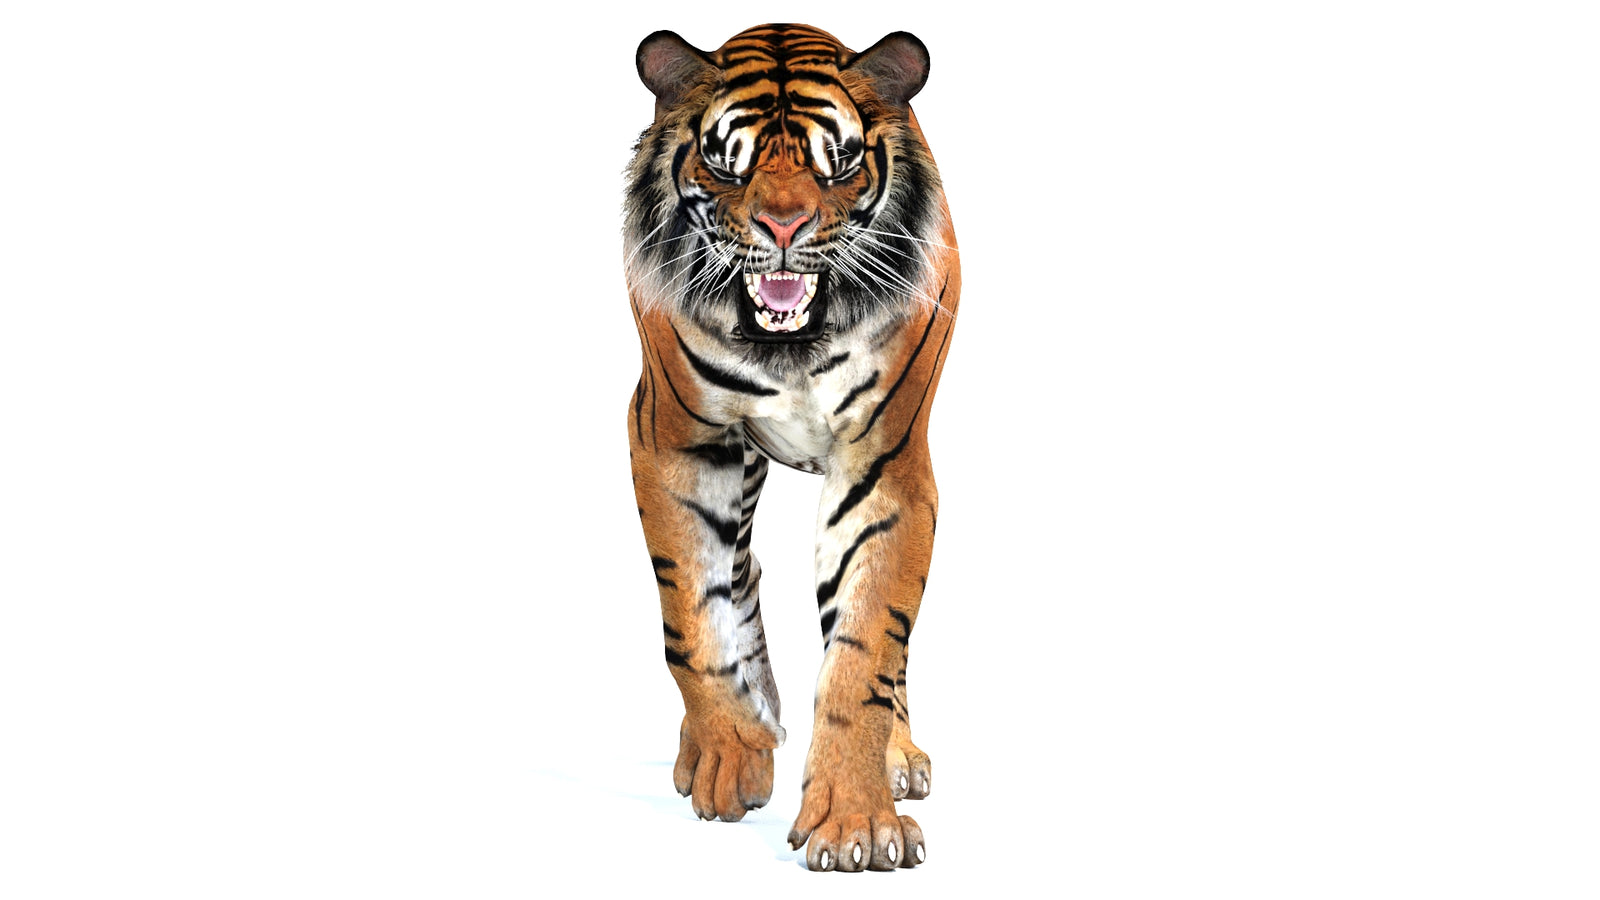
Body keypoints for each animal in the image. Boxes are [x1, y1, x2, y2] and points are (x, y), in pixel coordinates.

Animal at [623, 23, 959, 872]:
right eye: (725, 163)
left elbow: (865, 649)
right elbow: (694, 615)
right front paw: (730, 755)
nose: (782, 229)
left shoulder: (884, 465)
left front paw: (856, 823)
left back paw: (899, 756)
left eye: (835, 163)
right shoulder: (676, 440)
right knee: (739, 578)